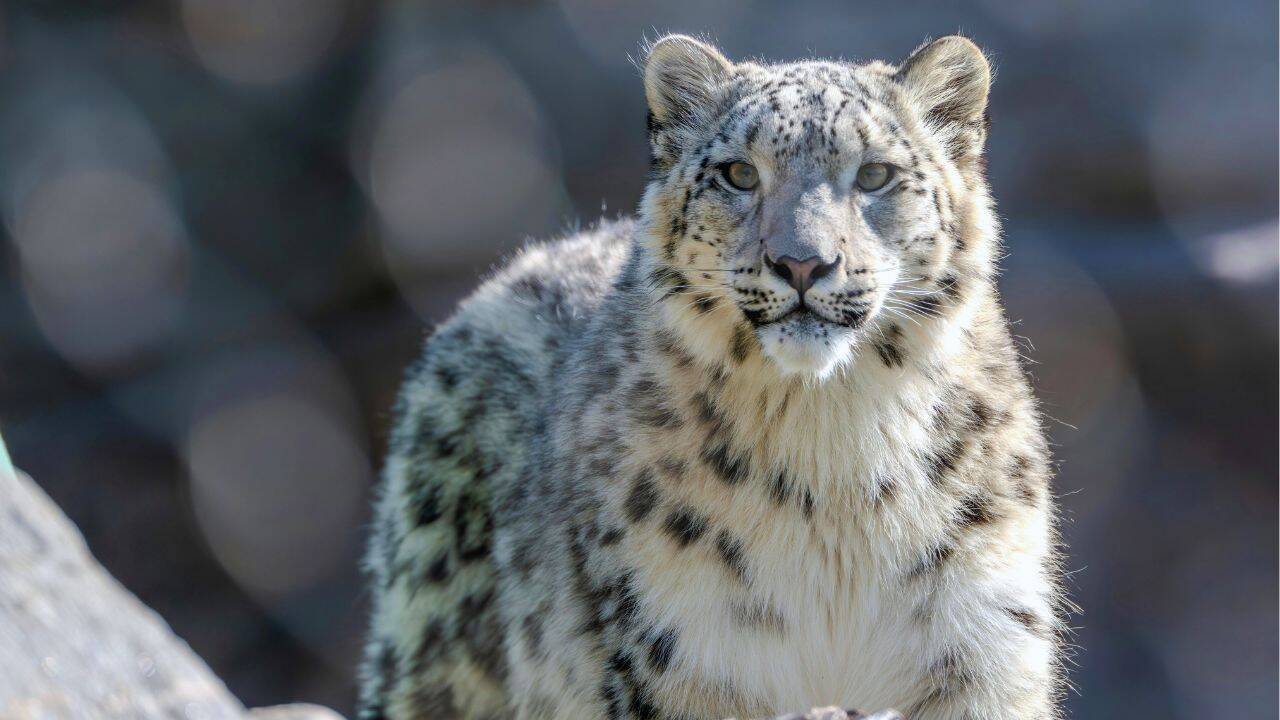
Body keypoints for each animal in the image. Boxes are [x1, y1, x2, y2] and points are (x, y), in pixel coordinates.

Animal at [358, 34, 1067, 720]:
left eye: (875, 174)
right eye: (739, 173)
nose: (802, 263)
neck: (834, 445)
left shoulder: (981, 635)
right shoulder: (681, 646)